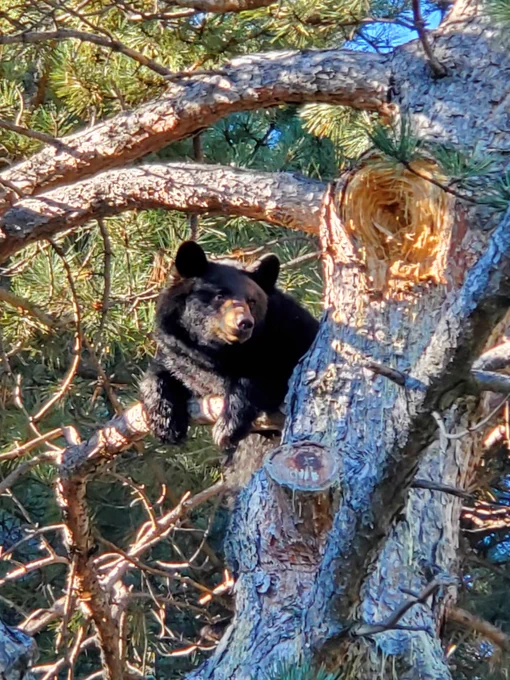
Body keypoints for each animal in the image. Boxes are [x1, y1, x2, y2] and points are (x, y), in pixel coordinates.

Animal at [140, 241, 319, 458]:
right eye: (219, 295)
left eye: (252, 301)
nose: (245, 323)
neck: (220, 353)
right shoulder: (179, 353)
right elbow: (160, 372)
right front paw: (165, 423)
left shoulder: (289, 337)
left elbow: (262, 378)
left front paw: (226, 428)